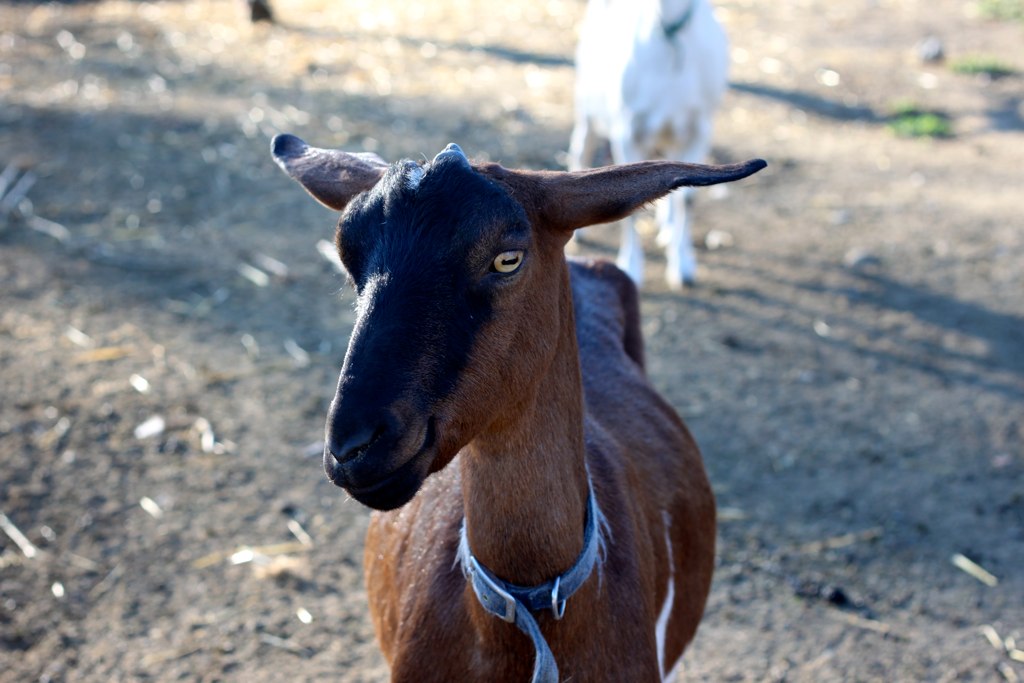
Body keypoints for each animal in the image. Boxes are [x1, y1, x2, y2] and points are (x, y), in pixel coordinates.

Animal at [569, 0, 729, 288]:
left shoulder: (700, 128)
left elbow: (687, 197)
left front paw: (683, 266)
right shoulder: (628, 130)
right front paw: (631, 267)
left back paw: (667, 228)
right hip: (587, 108)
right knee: (581, 152)